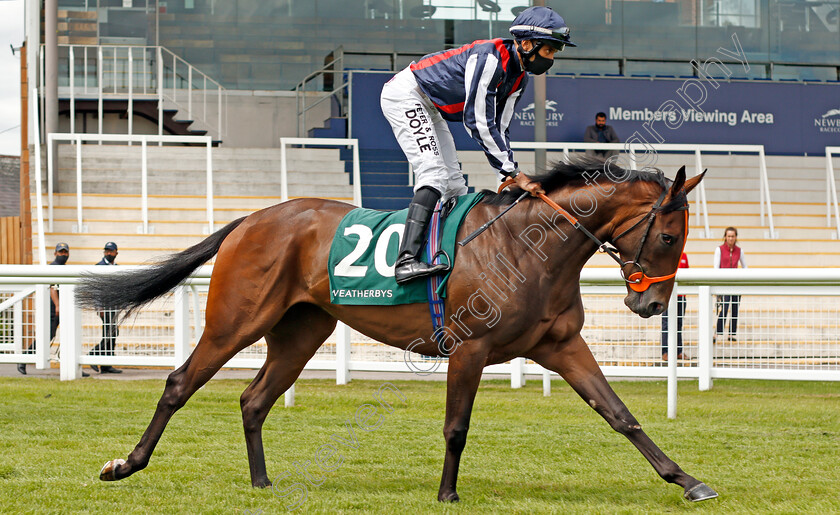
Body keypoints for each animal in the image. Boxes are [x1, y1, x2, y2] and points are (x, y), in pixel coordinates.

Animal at [80, 157, 720, 504]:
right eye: (669, 237)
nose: (651, 304)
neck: (530, 247)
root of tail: (251, 218)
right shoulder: (470, 348)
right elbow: (457, 427)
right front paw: (447, 493)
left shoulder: (560, 346)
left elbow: (620, 414)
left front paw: (687, 480)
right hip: (234, 322)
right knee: (178, 383)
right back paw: (126, 464)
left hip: (300, 331)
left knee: (254, 398)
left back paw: (262, 483)